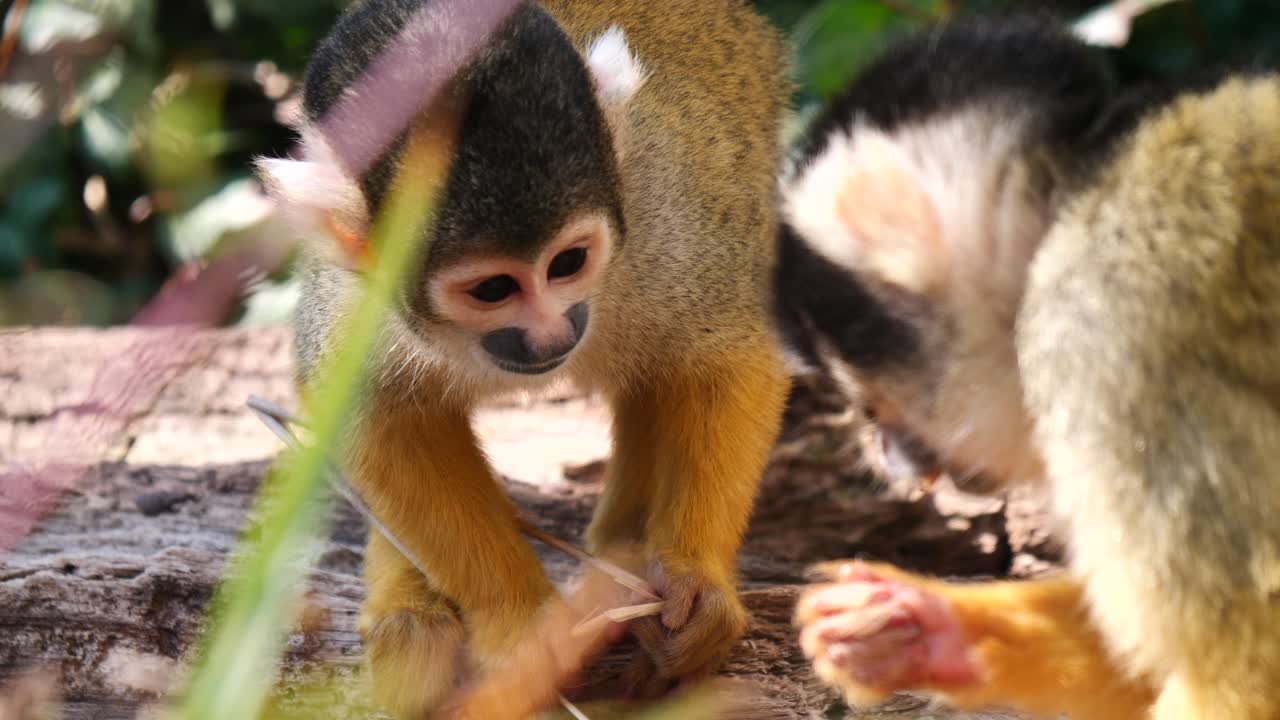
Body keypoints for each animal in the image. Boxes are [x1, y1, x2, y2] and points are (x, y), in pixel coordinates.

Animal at [255, 0, 791, 716]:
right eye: (493, 289)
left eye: (568, 262)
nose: (549, 336)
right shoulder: (356, 297)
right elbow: (378, 419)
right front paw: (525, 631)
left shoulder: (667, 206)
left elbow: (731, 354)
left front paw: (693, 581)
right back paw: (411, 609)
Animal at [771, 13, 1280, 720]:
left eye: (870, 404)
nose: (884, 455)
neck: (1074, 198)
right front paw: (929, 630)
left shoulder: (1110, 328)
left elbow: (1241, 651)